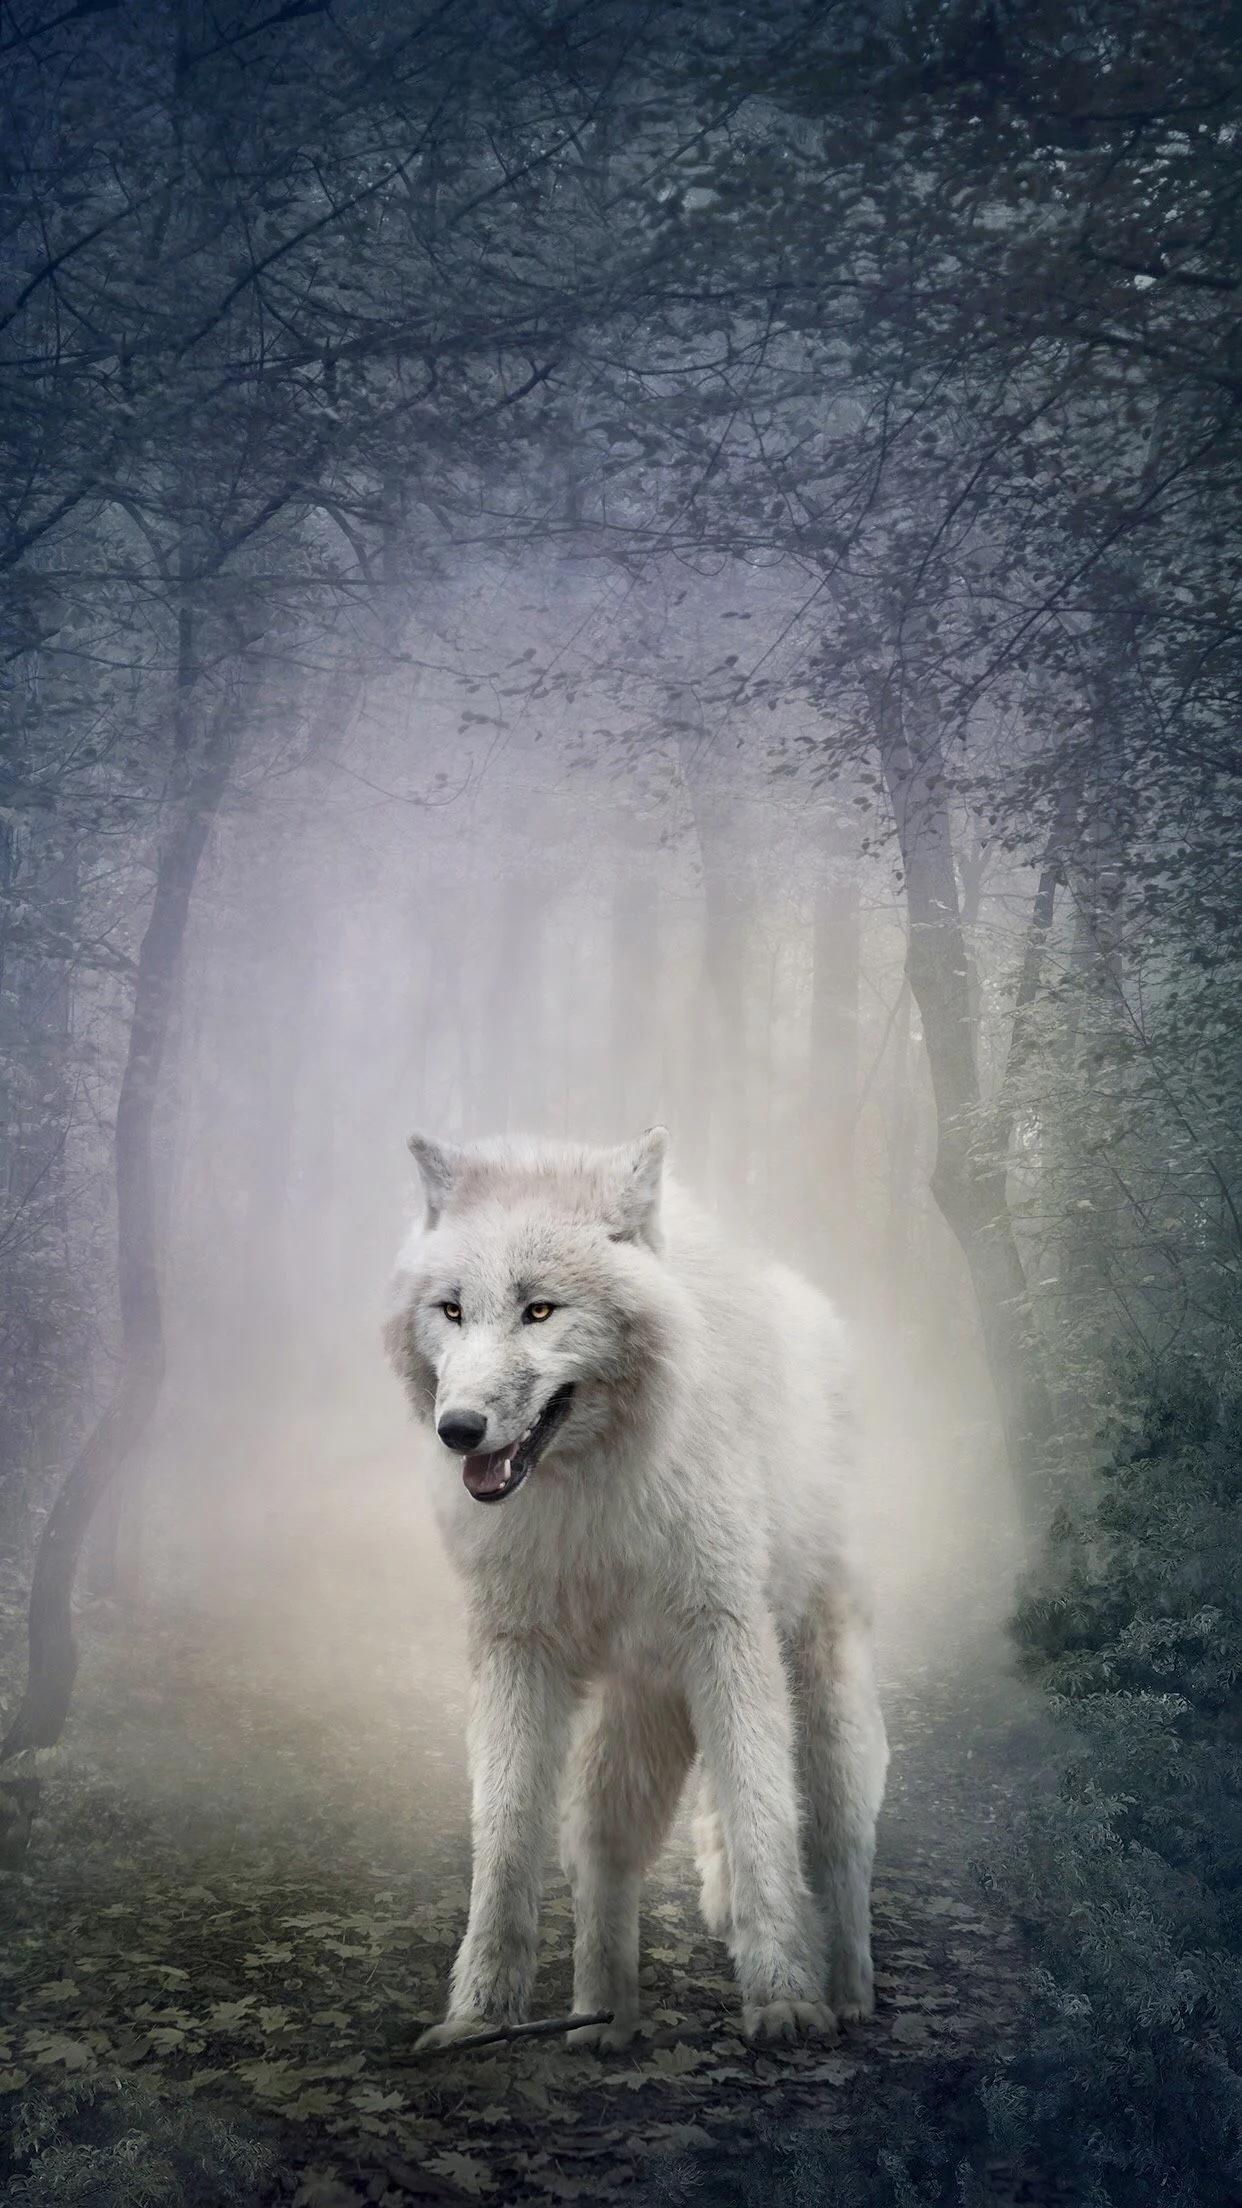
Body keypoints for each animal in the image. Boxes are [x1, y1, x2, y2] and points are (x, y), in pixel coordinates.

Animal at [384, 1127, 887, 2050]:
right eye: (452, 1310)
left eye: (540, 1310)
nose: (459, 1429)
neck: (589, 1495)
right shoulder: (515, 1653)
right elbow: (504, 1843)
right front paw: (477, 2019)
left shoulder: (728, 1635)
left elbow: (762, 1819)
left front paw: (786, 2000)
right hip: (634, 1712)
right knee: (602, 1846)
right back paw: (599, 2017)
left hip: (818, 1686)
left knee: (838, 1836)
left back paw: (847, 1992)